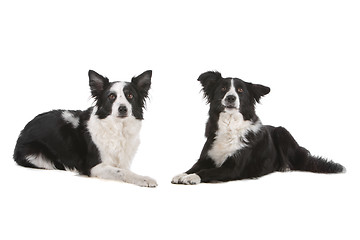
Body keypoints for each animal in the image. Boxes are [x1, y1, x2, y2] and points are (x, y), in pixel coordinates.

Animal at [14, 69, 158, 188]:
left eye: (130, 96)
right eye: (111, 96)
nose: (123, 108)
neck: (117, 128)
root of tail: (23, 130)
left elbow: (123, 169)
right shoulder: (94, 166)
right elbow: (121, 171)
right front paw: (143, 178)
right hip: (37, 156)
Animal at [172, 70, 346, 185]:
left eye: (240, 90)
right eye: (223, 89)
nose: (230, 98)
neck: (230, 125)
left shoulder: (233, 168)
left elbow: (207, 171)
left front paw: (191, 177)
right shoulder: (205, 158)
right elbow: (193, 167)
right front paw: (182, 174)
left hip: (282, 131)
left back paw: (285, 167)